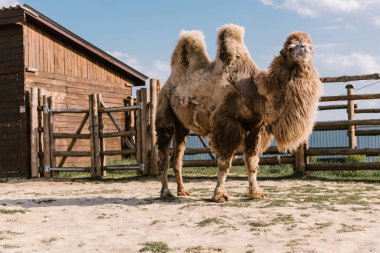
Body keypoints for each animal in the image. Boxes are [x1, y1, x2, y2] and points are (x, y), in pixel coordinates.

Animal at [156, 24, 322, 203]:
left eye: (310, 45)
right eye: (290, 48)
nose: (305, 48)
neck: (256, 95)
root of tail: (167, 84)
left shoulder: (256, 128)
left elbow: (252, 162)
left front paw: (256, 193)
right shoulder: (226, 122)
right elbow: (224, 162)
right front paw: (219, 195)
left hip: (182, 126)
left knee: (177, 158)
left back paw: (182, 191)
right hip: (164, 113)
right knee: (164, 157)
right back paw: (165, 192)